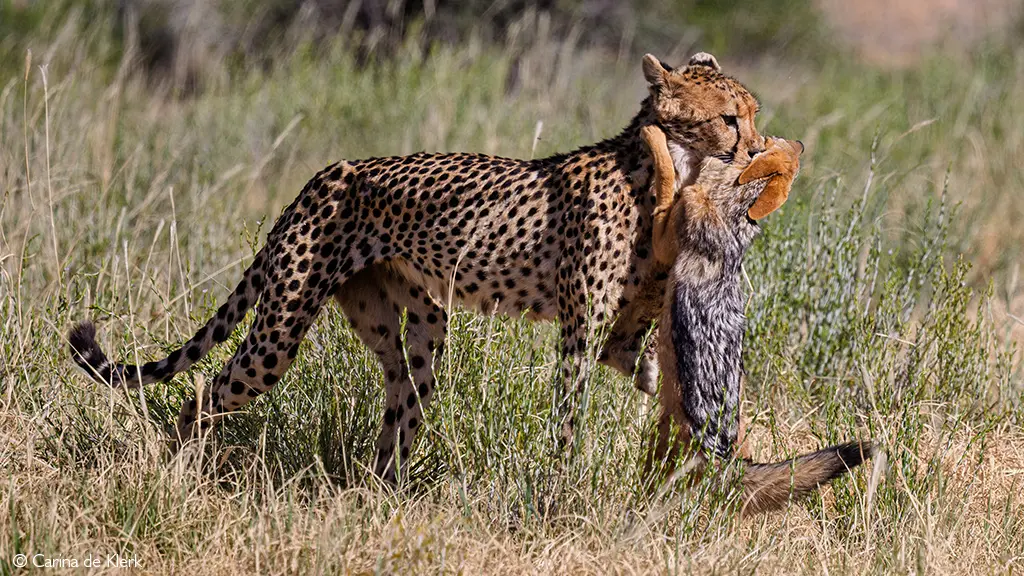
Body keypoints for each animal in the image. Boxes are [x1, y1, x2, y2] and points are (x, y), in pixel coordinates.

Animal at [68, 51, 768, 483]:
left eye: (753, 112)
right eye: (727, 119)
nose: (759, 148)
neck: (661, 169)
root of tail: (327, 172)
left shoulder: (617, 323)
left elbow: (635, 352)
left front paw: (665, 384)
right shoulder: (579, 332)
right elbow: (569, 419)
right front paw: (562, 490)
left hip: (415, 318)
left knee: (402, 390)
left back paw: (384, 488)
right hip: (279, 329)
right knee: (207, 392)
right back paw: (176, 469)